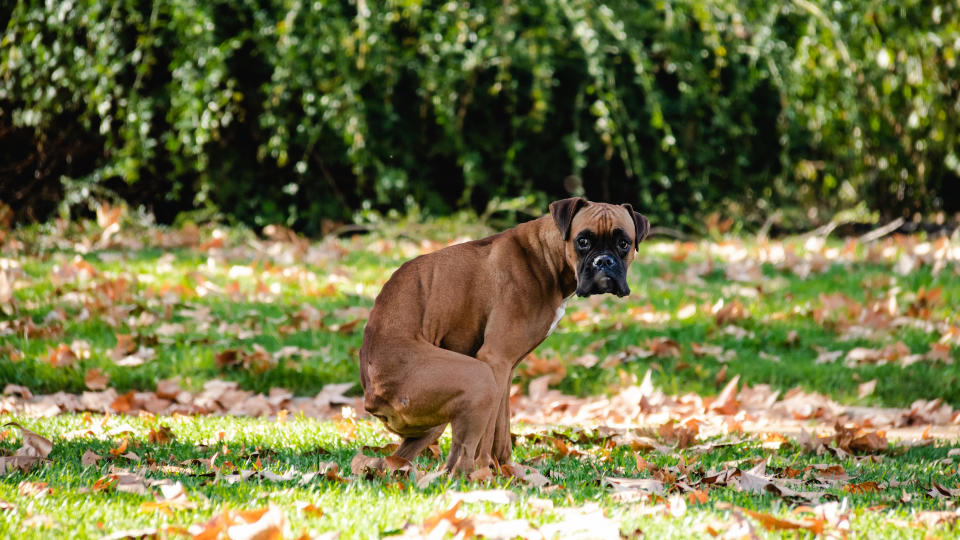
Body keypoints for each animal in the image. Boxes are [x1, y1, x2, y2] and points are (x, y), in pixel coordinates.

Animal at [360, 197, 652, 472]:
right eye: (583, 241)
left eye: (624, 243)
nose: (604, 261)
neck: (546, 256)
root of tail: (372, 398)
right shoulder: (494, 360)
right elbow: (488, 434)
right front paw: (486, 472)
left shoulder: (506, 369)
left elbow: (502, 427)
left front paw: (508, 470)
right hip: (478, 379)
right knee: (458, 461)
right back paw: (471, 476)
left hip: (435, 422)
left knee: (397, 460)